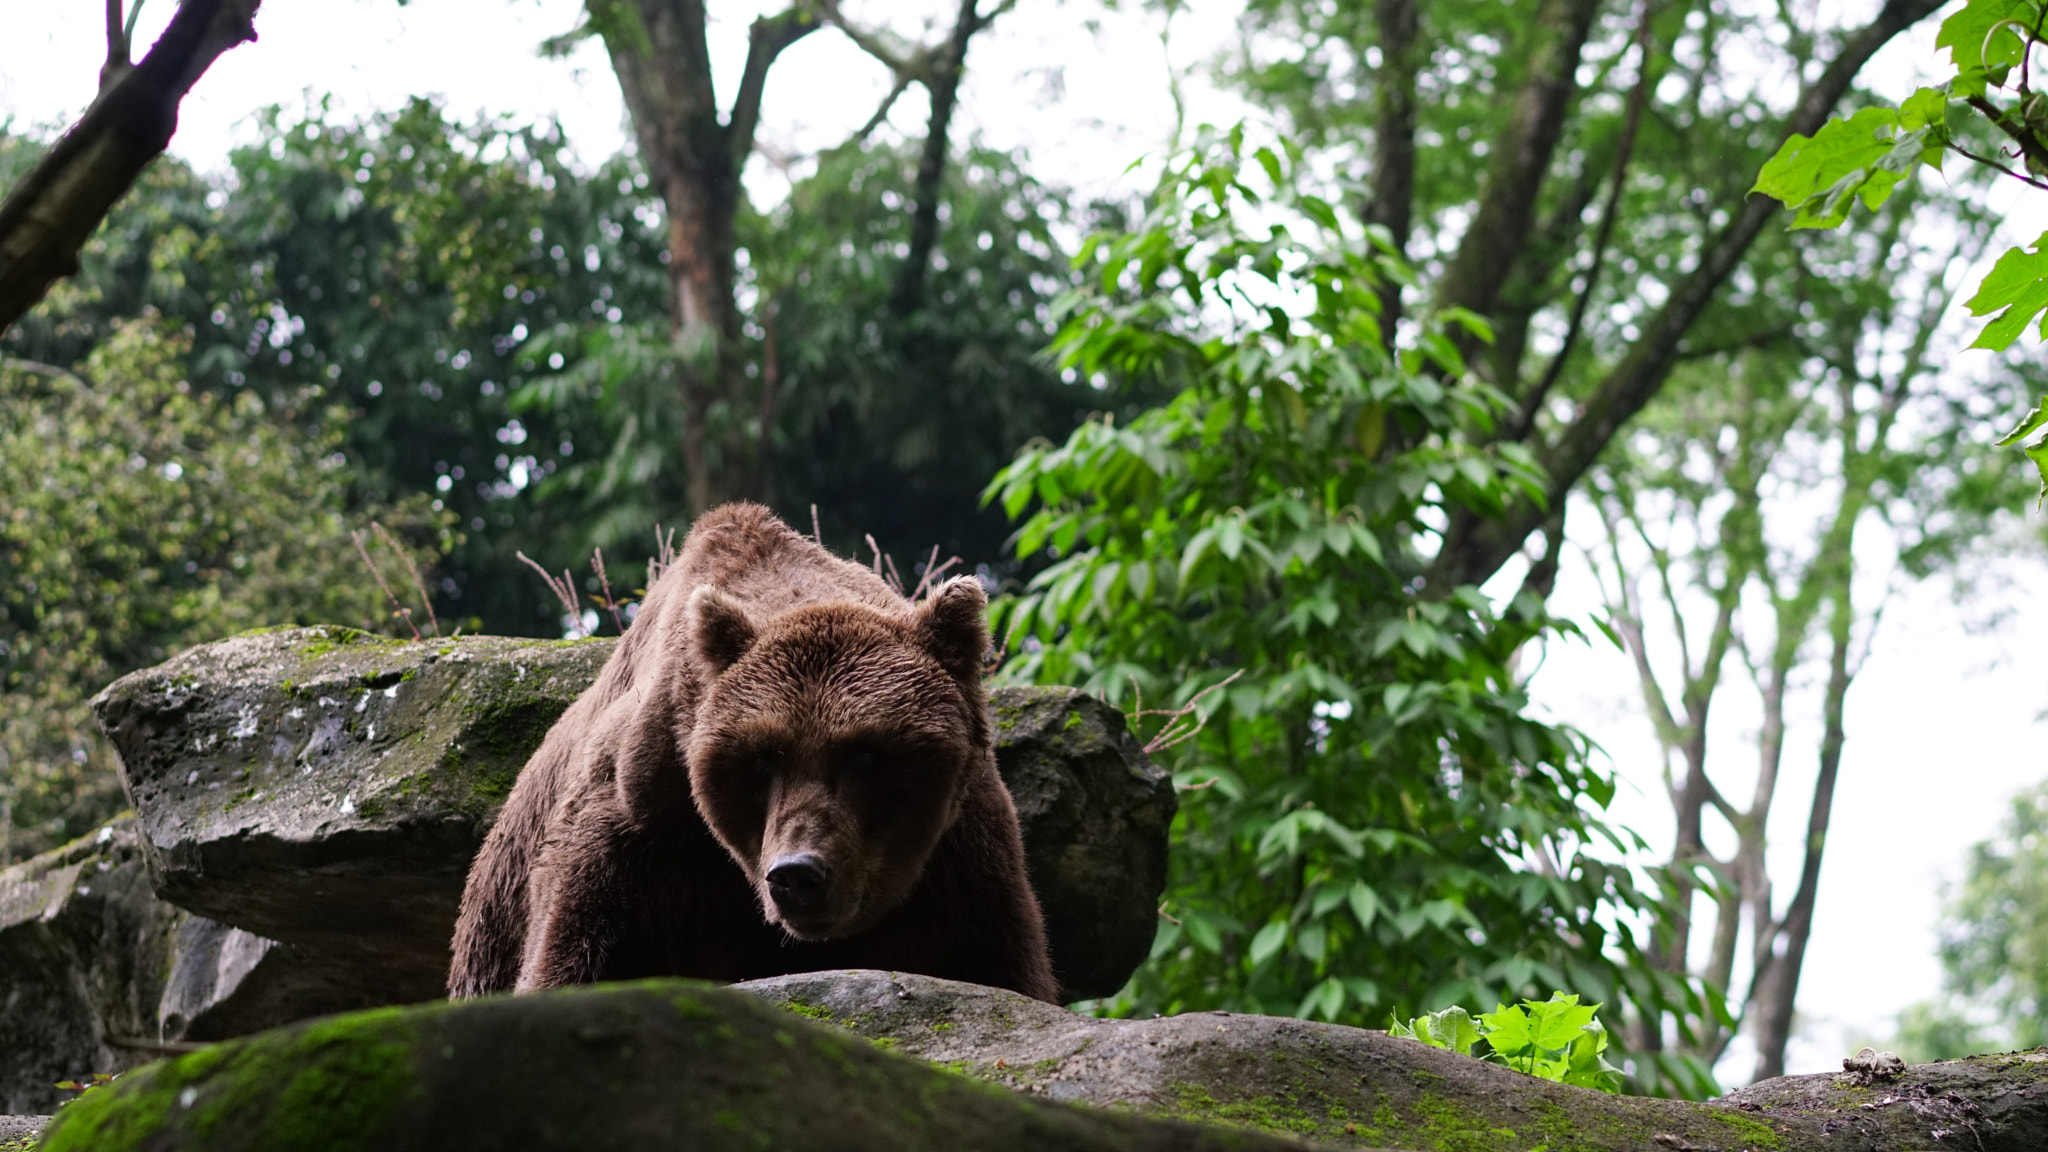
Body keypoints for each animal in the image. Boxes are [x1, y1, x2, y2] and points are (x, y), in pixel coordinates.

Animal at [448, 500, 1056, 996]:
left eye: (864, 754)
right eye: (763, 758)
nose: (797, 873)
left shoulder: (961, 859)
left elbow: (997, 961)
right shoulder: (632, 829)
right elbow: (569, 956)